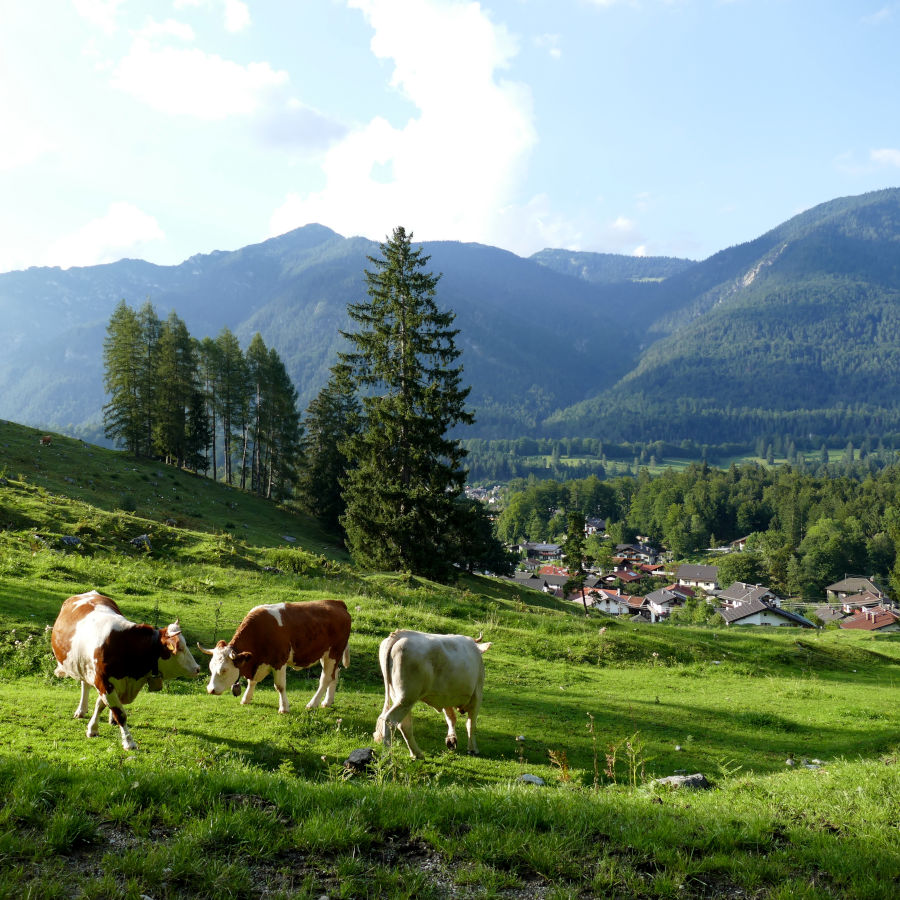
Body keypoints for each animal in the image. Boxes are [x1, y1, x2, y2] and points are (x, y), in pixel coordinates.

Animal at [52, 592, 202, 752]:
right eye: (180, 648)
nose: (197, 668)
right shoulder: (104, 683)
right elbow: (120, 713)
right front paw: (129, 742)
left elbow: (100, 704)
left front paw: (93, 728)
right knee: (84, 685)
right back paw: (81, 710)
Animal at [200, 600, 352, 712]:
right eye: (211, 668)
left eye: (224, 670)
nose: (210, 690)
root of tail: (337, 603)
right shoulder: (258, 662)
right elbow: (252, 681)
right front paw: (246, 699)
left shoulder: (279, 661)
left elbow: (280, 686)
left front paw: (284, 708)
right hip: (326, 654)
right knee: (335, 674)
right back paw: (327, 702)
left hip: (334, 652)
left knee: (325, 678)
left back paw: (312, 703)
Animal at [370, 624, 492, 760]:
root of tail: (399, 635)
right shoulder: (477, 695)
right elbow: (471, 724)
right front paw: (472, 749)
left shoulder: (445, 697)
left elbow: (451, 718)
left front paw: (451, 740)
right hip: (406, 697)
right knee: (390, 720)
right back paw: (388, 757)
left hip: (399, 697)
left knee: (404, 725)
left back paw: (417, 753)